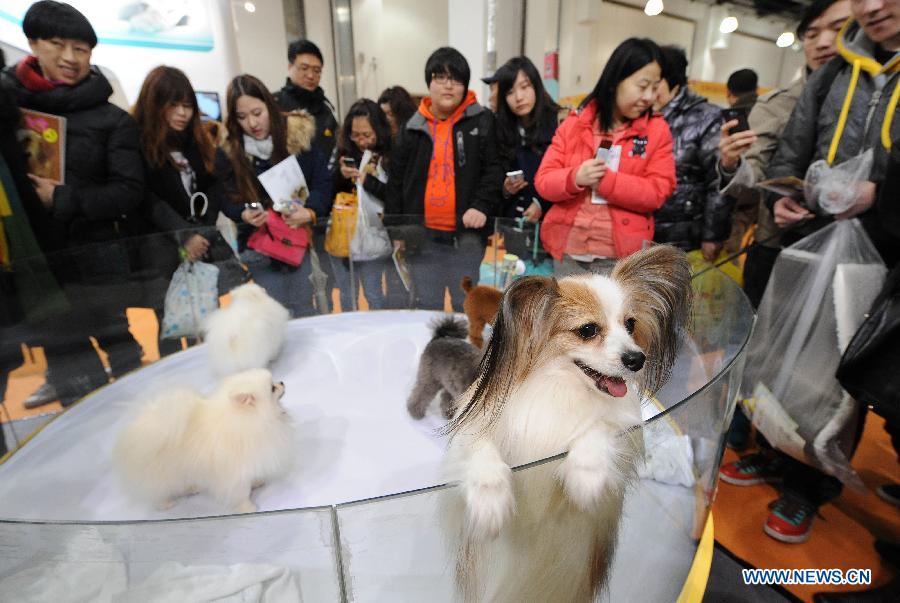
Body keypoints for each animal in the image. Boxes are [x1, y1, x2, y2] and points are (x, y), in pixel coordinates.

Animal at [114, 368, 294, 516]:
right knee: (156, 493)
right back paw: (165, 504)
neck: (248, 419)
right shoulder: (233, 476)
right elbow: (240, 493)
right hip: (160, 476)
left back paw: (192, 488)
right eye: (272, 388)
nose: (282, 382)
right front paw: (247, 508)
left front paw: (256, 482)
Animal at [442, 247, 688, 603]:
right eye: (587, 330)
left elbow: (600, 430)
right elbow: (481, 449)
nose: (636, 359)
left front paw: (586, 476)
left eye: (630, 324)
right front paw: (490, 503)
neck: (560, 389)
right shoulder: (474, 436)